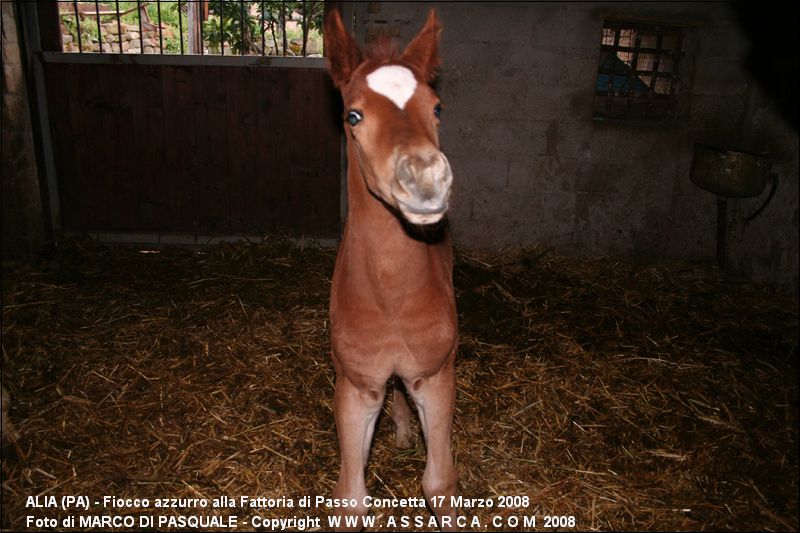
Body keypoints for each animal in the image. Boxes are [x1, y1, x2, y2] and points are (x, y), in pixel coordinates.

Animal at [324, 7, 460, 528]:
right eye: (353, 115)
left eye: (437, 108)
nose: (426, 178)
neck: (391, 297)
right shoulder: (356, 387)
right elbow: (350, 496)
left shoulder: (436, 377)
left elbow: (440, 483)